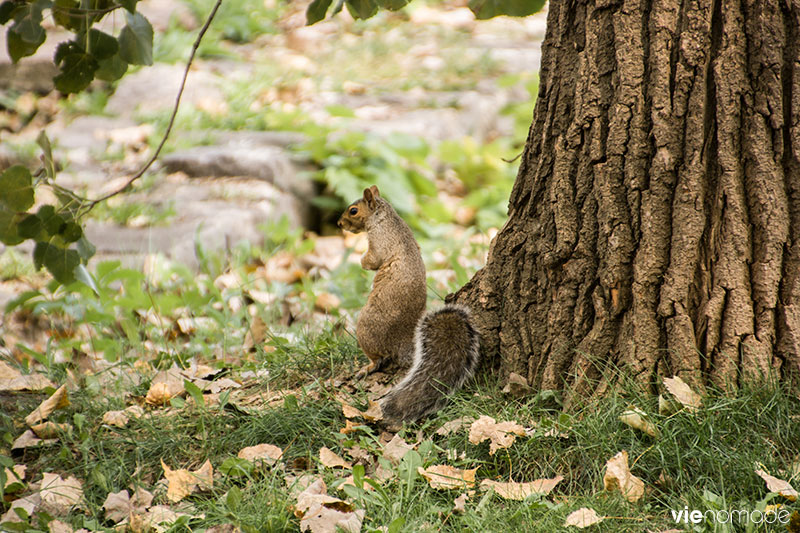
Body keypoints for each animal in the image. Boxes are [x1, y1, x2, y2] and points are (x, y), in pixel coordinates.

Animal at [334, 185, 478, 422]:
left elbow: (373, 260)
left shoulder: (380, 241)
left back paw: (366, 368)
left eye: (353, 211)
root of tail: (404, 346)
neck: (385, 217)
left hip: (365, 329)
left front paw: (361, 261)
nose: (339, 224)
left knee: (379, 360)